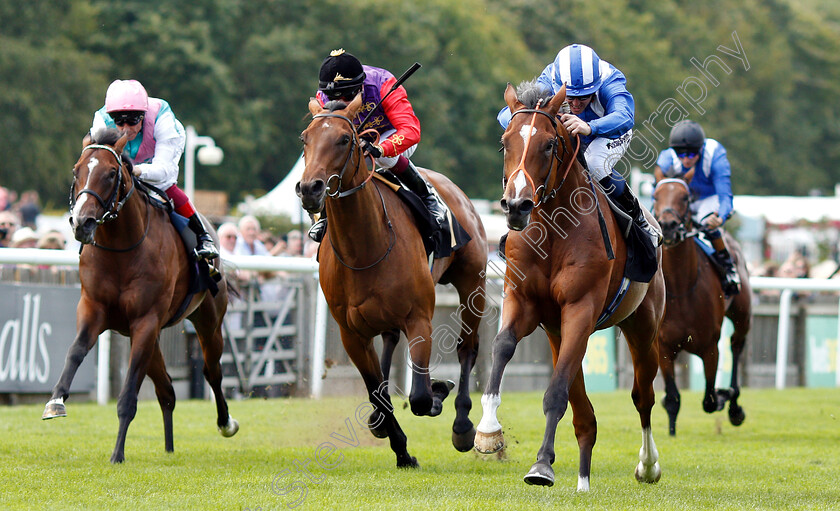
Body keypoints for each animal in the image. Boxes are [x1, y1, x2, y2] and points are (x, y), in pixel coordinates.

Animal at [43, 129, 240, 464]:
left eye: (111, 173)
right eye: (76, 170)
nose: (82, 223)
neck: (121, 250)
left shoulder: (145, 321)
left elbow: (128, 396)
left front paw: (117, 454)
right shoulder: (94, 309)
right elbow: (75, 351)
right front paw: (56, 401)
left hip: (207, 321)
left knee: (212, 370)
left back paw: (225, 422)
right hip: (149, 338)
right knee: (168, 390)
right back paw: (169, 447)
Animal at [298, 94, 488, 466]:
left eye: (345, 139)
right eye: (305, 139)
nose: (310, 188)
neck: (364, 248)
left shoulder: (420, 318)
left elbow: (419, 397)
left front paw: (437, 392)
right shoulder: (350, 333)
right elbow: (376, 391)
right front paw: (401, 449)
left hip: (473, 281)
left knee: (467, 348)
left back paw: (462, 424)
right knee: (388, 341)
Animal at [476, 83, 668, 492]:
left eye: (549, 144)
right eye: (504, 142)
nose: (516, 205)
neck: (553, 230)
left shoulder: (581, 308)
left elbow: (556, 392)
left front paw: (541, 466)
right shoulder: (524, 302)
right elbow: (502, 347)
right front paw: (488, 430)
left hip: (641, 326)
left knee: (643, 396)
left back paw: (647, 466)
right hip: (557, 331)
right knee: (585, 415)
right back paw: (583, 480)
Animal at [652, 176, 752, 436]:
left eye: (685, 197)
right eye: (655, 196)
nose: (668, 225)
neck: (681, 287)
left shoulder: (710, 347)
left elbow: (709, 399)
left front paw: (723, 394)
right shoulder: (664, 347)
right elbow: (672, 398)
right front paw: (671, 433)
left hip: (742, 315)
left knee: (736, 345)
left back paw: (734, 405)